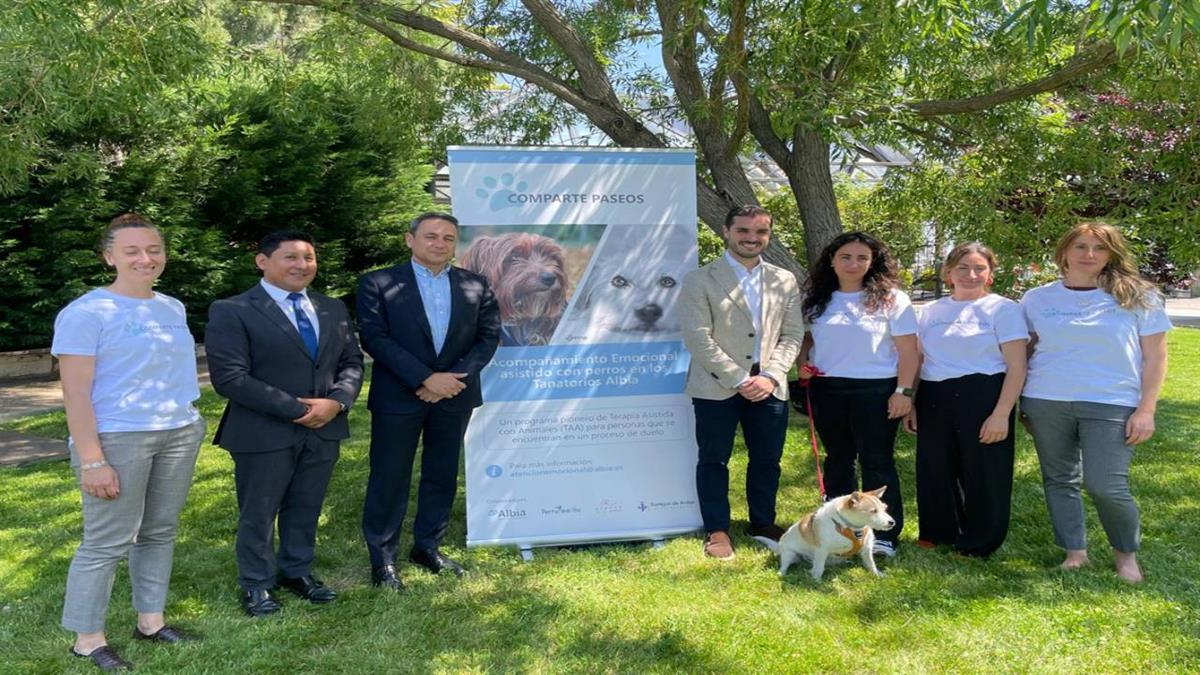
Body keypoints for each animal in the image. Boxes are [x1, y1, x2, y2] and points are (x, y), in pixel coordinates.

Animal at [763, 485, 897, 581]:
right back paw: (781, 573)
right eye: (873, 511)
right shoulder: (822, 550)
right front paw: (816, 582)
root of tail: (780, 546)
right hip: (789, 554)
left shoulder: (866, 549)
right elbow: (819, 568)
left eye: (884, 508)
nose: (892, 522)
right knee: (785, 565)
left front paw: (877, 575)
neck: (852, 528)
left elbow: (871, 564)